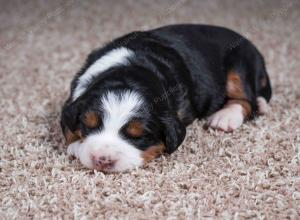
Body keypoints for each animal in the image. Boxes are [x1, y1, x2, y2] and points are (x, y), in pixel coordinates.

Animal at [61, 24, 272, 172]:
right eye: (89, 126)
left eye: (138, 136)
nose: (102, 160)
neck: (129, 69)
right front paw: (77, 146)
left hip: (240, 64)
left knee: (247, 100)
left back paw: (226, 117)